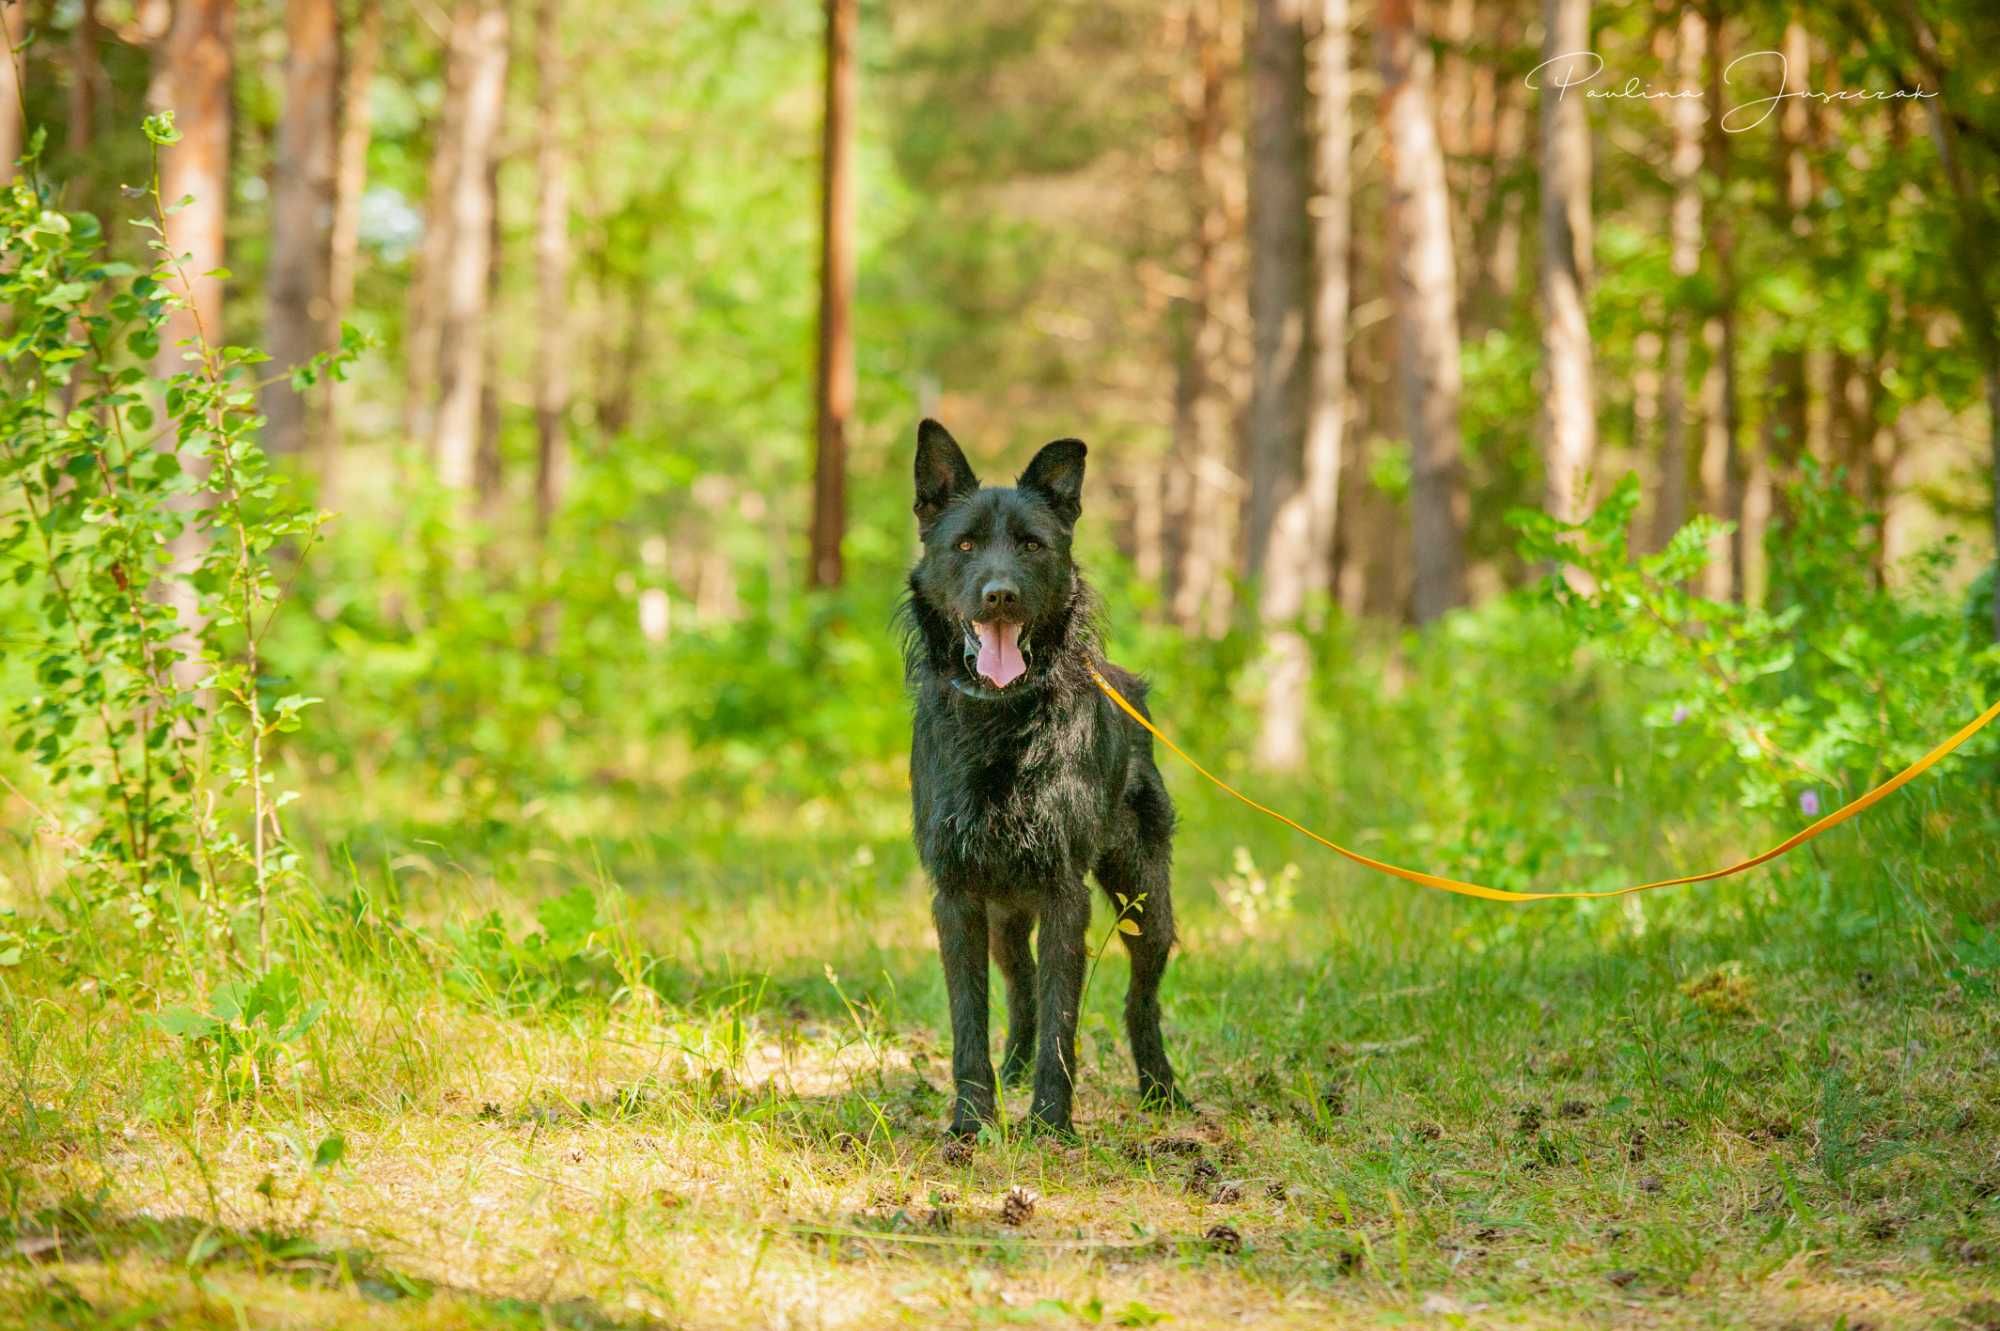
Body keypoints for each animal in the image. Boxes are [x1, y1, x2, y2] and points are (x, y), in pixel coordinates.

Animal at [900, 415, 1176, 1127]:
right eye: (966, 543)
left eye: (1030, 544)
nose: (1000, 596)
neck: (1001, 720)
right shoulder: (958, 898)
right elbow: (972, 1018)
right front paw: (972, 1121)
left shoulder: (1062, 896)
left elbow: (1063, 1015)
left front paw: (1051, 1122)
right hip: (1004, 915)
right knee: (1020, 983)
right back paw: (1015, 1069)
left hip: (1144, 901)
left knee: (1141, 998)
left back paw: (1161, 1088)